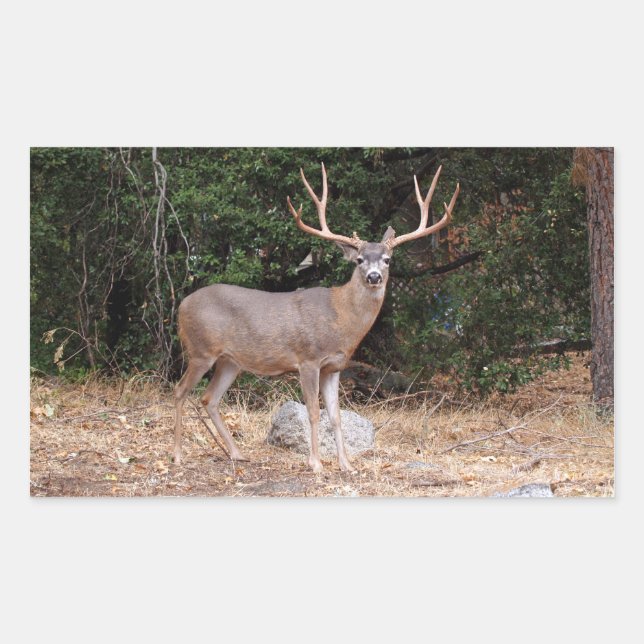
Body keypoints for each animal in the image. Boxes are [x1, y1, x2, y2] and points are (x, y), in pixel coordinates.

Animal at [173, 163, 459, 472]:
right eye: (359, 260)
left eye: (387, 259)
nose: (374, 277)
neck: (341, 319)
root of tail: (181, 305)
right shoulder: (308, 359)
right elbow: (312, 411)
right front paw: (316, 463)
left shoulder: (334, 367)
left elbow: (335, 415)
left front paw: (347, 465)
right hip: (200, 350)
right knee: (180, 391)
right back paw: (177, 455)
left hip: (230, 361)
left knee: (209, 398)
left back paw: (237, 454)